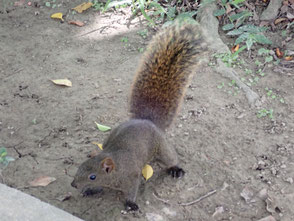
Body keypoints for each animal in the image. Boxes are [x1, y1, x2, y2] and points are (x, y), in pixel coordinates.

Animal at [71, 21, 207, 212]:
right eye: (80, 167)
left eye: (92, 176)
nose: (73, 185)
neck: (117, 168)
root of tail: (146, 119)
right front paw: (91, 191)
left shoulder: (132, 176)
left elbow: (131, 190)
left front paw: (130, 203)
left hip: (161, 147)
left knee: (171, 157)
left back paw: (175, 169)